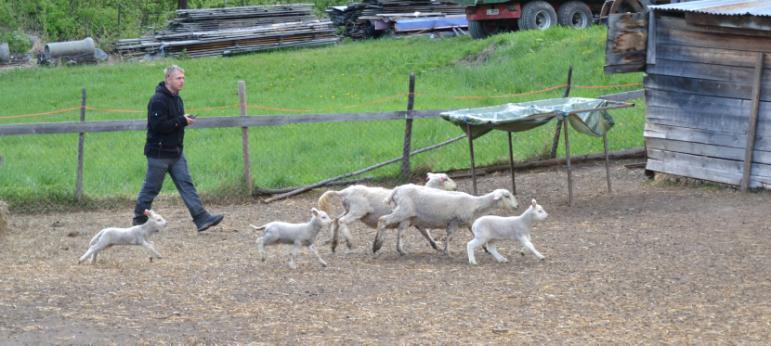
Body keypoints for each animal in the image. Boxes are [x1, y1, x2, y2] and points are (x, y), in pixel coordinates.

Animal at [316, 171, 456, 254]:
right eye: (447, 179)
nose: (456, 187)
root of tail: (344, 192)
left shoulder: (415, 222)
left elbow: (426, 234)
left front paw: (437, 246)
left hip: (348, 209)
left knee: (335, 221)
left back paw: (334, 245)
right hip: (357, 210)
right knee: (342, 221)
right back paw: (349, 243)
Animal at [376, 185, 520, 255]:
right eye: (507, 196)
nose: (517, 206)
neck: (475, 204)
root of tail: (397, 190)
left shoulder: (468, 222)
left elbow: (476, 235)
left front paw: (486, 249)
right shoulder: (454, 221)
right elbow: (450, 237)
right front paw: (447, 252)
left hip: (408, 216)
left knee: (401, 231)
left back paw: (400, 250)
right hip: (403, 211)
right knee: (382, 220)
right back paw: (377, 245)